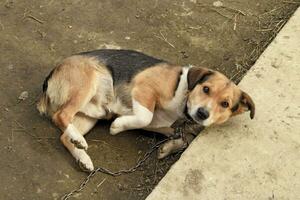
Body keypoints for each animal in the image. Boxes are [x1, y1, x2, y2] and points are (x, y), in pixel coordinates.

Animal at [36, 49, 254, 171]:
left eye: (225, 104)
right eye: (206, 89)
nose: (202, 113)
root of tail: (51, 75)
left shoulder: (164, 126)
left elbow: (186, 137)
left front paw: (169, 147)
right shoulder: (144, 88)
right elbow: (145, 116)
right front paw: (117, 126)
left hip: (92, 115)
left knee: (64, 135)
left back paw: (82, 156)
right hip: (88, 84)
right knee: (61, 115)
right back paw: (79, 140)